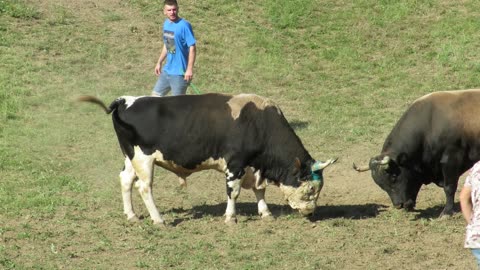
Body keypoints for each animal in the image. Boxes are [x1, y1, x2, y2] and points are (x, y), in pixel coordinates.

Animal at [79, 93, 336, 224]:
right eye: (310, 190)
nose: (311, 213)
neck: (259, 120)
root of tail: (125, 100)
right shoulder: (236, 163)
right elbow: (234, 192)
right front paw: (230, 217)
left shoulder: (254, 166)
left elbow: (259, 190)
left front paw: (265, 213)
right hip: (144, 159)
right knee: (144, 187)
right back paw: (158, 219)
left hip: (131, 157)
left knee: (125, 180)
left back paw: (131, 215)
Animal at [352, 89, 480, 216]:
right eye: (381, 185)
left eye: (394, 176)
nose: (399, 205)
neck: (430, 124)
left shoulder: (451, 160)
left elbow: (449, 187)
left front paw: (447, 211)